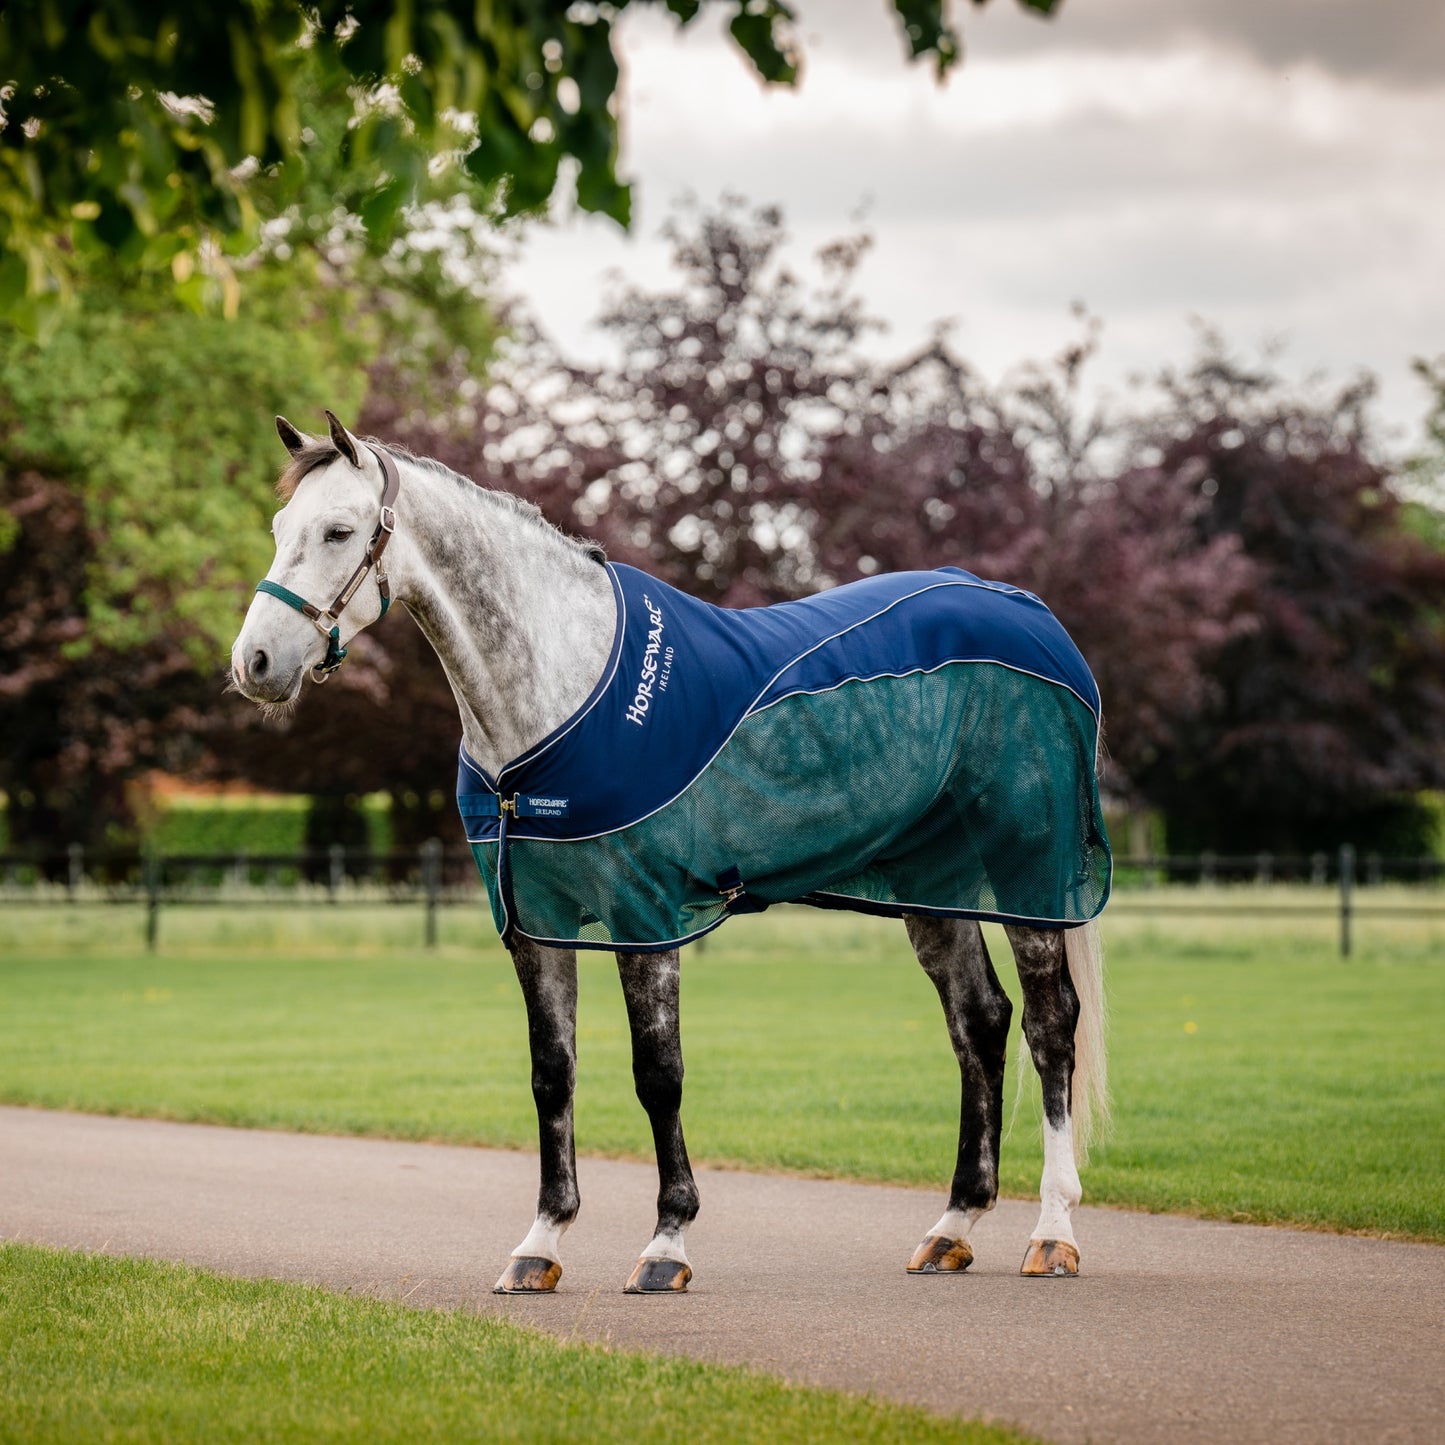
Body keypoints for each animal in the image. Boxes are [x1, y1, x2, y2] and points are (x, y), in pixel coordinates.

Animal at [228, 410, 1103, 1300]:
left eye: (339, 531)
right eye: (278, 527)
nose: (254, 663)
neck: (567, 692)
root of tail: (1027, 611)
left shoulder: (643, 916)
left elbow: (658, 1073)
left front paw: (666, 1242)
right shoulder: (535, 927)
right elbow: (551, 1073)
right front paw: (540, 1243)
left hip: (1029, 867)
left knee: (1048, 1025)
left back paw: (1053, 1231)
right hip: (931, 885)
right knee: (978, 1021)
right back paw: (952, 1224)